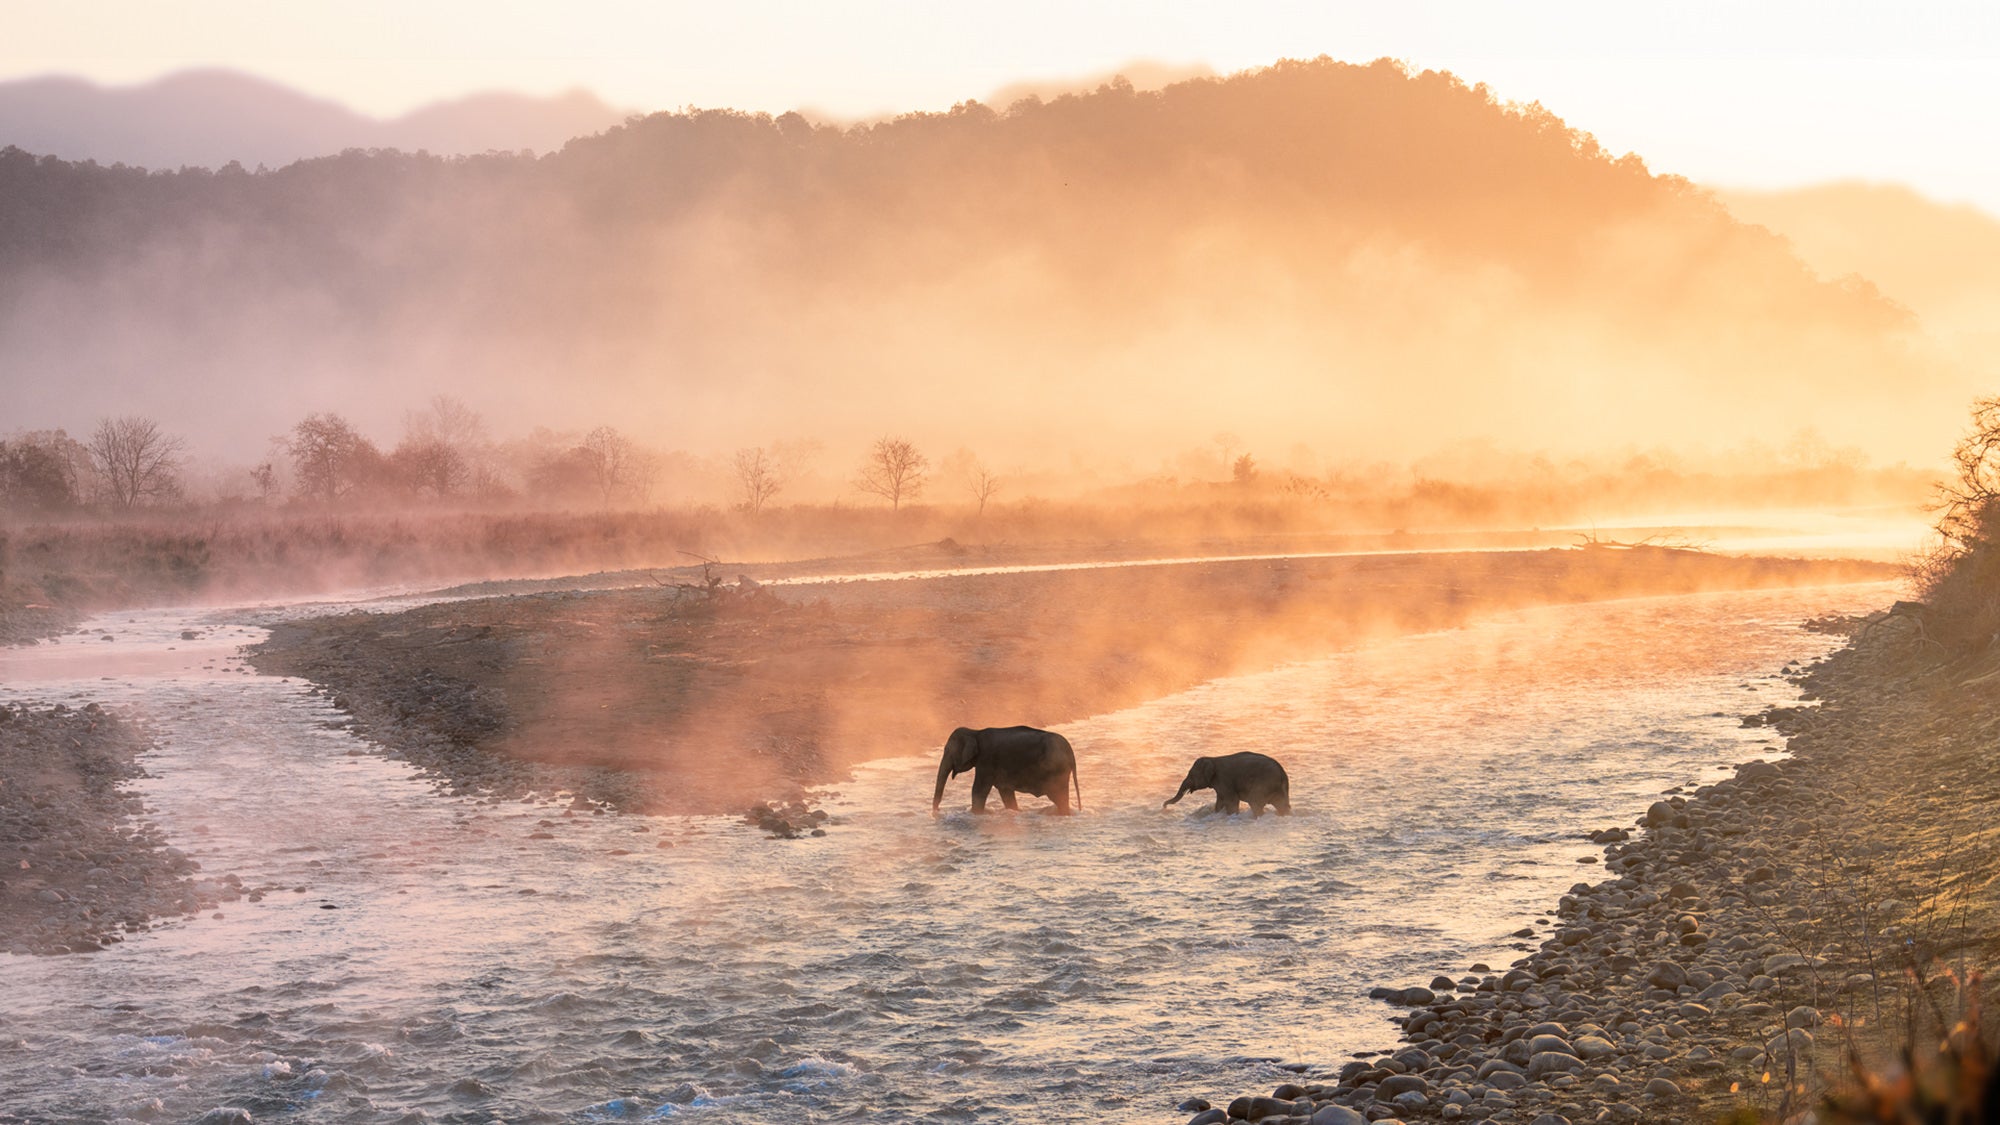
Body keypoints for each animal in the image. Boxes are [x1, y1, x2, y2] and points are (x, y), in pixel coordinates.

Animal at [932, 720, 1088, 808]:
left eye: (947, 750)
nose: (937, 811)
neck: (975, 732)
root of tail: (1070, 751)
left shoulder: (986, 760)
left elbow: (978, 790)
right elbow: (1005, 792)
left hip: (1056, 771)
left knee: (1058, 797)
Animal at [1160, 752, 1296, 812]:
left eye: (1192, 774)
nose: (1164, 807)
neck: (1213, 758)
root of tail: (1282, 772)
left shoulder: (1224, 780)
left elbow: (1232, 801)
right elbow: (1220, 801)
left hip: (1263, 784)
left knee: (1256, 803)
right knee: (1282, 805)